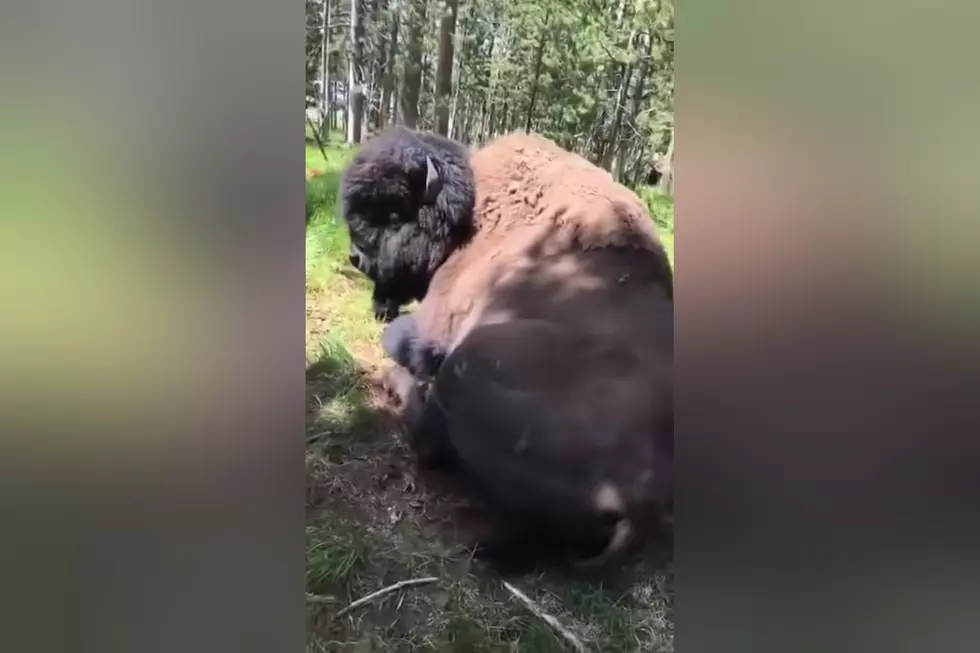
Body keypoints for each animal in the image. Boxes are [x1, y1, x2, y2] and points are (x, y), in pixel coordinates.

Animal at [338, 127, 672, 572]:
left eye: (393, 214)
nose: (356, 256)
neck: (470, 219)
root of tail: (640, 502)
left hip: (468, 365)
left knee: (429, 439)